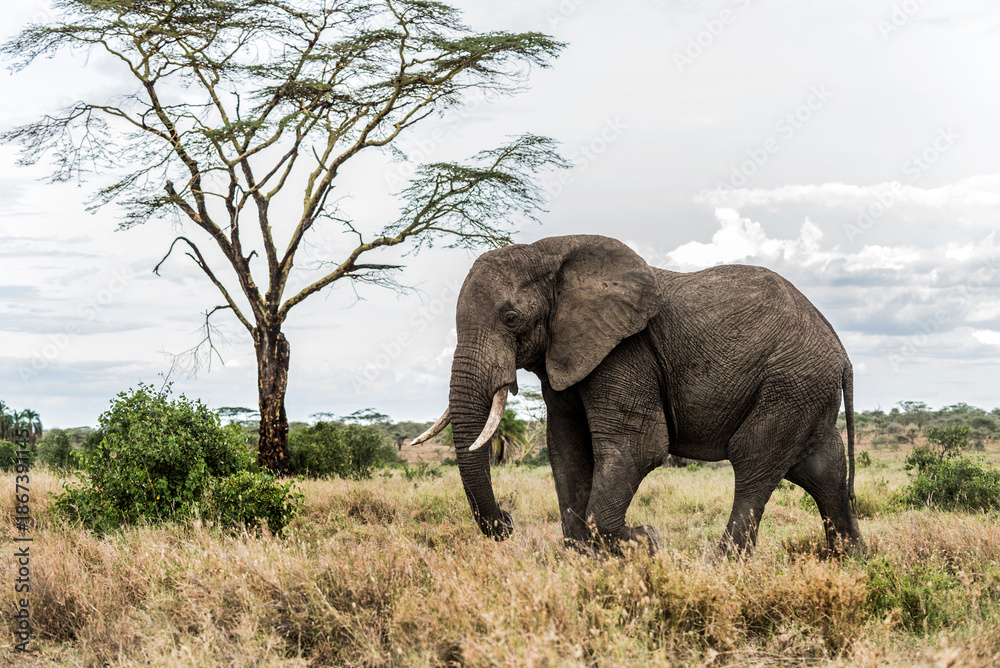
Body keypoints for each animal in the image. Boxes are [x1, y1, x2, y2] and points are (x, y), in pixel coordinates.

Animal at [414, 234, 865, 557]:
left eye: (511, 318)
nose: (507, 522)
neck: (549, 254)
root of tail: (843, 353)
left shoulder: (626, 351)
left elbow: (637, 447)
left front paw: (645, 542)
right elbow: (567, 449)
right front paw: (584, 556)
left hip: (790, 381)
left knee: (754, 460)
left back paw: (721, 565)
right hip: (804, 390)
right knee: (822, 469)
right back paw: (851, 560)